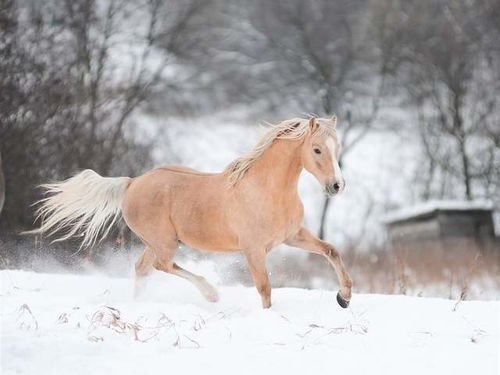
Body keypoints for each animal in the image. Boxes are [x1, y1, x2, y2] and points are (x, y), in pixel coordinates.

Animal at [31, 117, 352, 308]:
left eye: (337, 148)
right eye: (317, 149)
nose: (337, 186)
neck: (266, 190)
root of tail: (132, 183)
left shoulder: (293, 236)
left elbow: (331, 250)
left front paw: (344, 297)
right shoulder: (253, 249)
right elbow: (265, 288)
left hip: (156, 242)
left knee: (143, 268)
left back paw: (139, 305)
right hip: (164, 241)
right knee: (161, 265)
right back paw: (210, 293)